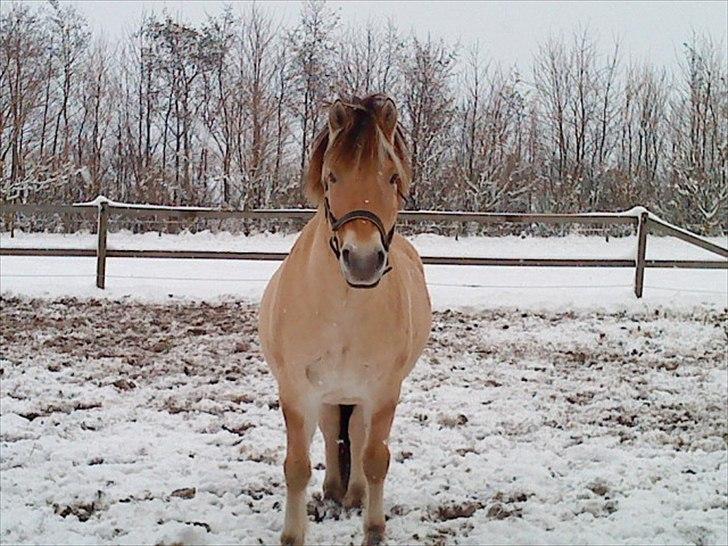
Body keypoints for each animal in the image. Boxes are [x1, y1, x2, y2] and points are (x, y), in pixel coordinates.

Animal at [258, 94, 430, 544]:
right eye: (332, 177)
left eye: (392, 177)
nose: (364, 261)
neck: (343, 312)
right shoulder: (297, 391)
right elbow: (296, 467)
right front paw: (293, 534)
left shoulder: (384, 391)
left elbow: (374, 459)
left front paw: (373, 528)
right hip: (329, 392)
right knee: (331, 427)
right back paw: (334, 490)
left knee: (356, 433)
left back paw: (351, 495)